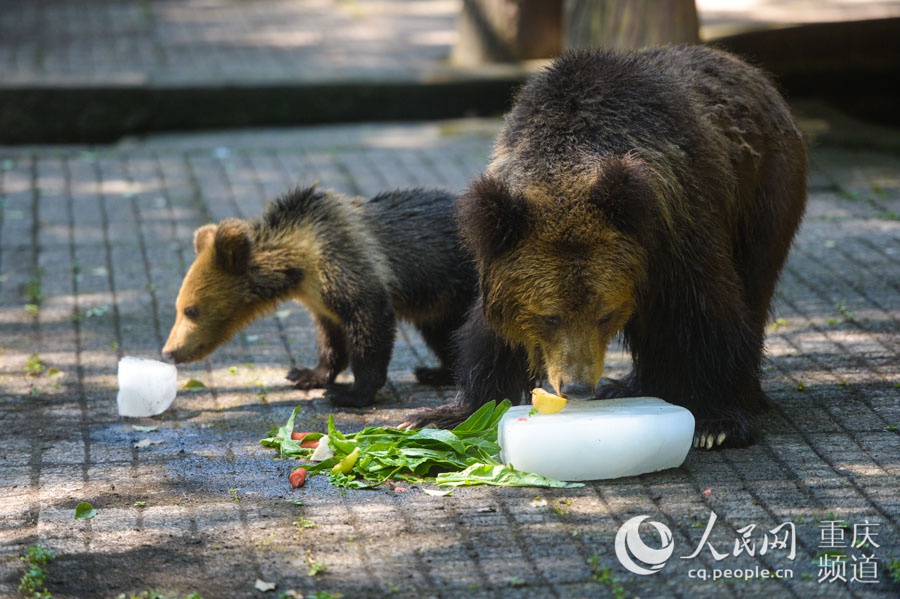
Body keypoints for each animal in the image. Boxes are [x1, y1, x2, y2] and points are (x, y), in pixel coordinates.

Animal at [408, 45, 808, 450]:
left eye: (605, 314)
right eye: (548, 316)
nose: (578, 387)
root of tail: (744, 66)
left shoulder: (678, 229)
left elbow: (705, 312)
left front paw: (716, 422)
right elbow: (490, 335)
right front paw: (445, 413)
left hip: (764, 193)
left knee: (754, 287)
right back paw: (633, 385)